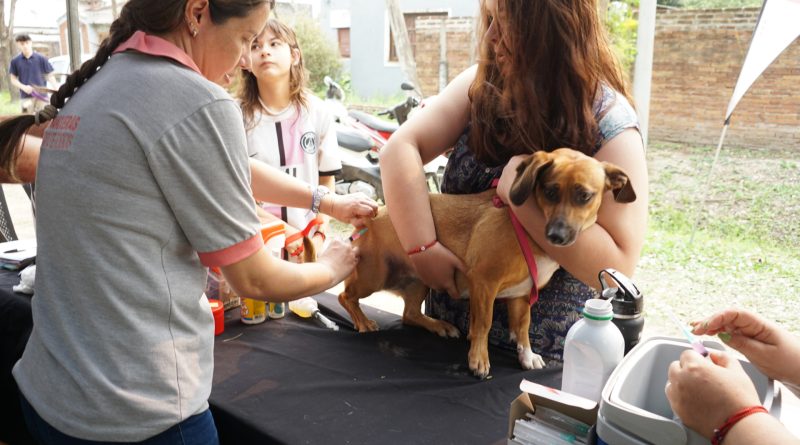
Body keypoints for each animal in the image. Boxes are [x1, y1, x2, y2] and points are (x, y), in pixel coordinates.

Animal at [338, 147, 636, 376]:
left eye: (584, 196)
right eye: (550, 191)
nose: (557, 235)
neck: (526, 232)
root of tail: (375, 213)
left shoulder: (521, 296)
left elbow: (524, 328)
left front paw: (526, 355)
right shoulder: (484, 283)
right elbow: (483, 324)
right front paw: (478, 359)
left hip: (420, 280)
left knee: (409, 314)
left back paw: (439, 325)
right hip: (374, 275)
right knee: (345, 296)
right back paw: (363, 322)